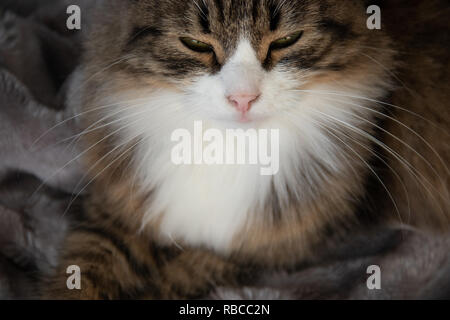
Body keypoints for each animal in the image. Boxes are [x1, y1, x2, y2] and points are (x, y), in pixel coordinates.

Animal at [43, 0, 450, 300]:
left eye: (288, 39)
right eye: (196, 44)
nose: (242, 98)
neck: (225, 149)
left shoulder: (261, 244)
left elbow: (178, 278)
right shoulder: (121, 208)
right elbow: (84, 268)